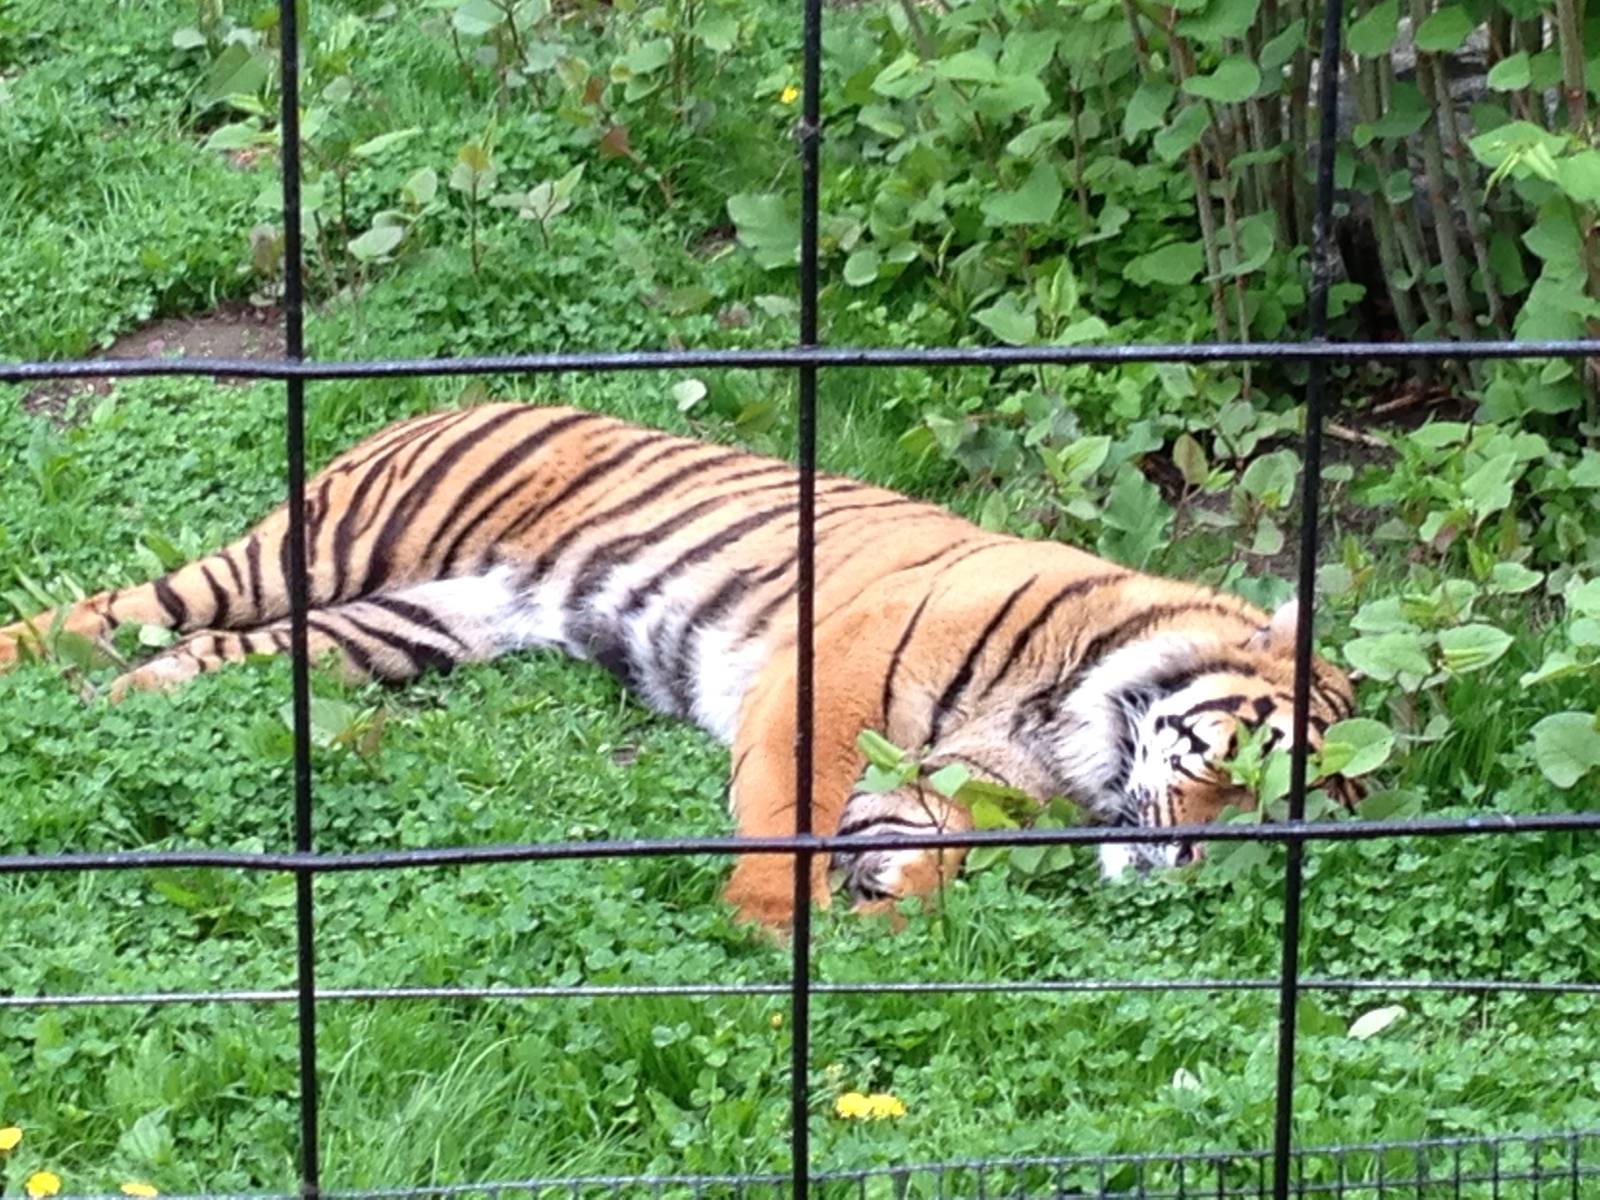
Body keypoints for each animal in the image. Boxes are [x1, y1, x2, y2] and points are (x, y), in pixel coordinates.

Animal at [0, 402, 1359, 925]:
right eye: (1236, 768)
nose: (1186, 862)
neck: (1076, 729)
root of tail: (440, 400)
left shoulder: (949, 777)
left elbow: (915, 841)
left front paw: (887, 903)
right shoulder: (830, 669)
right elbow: (784, 811)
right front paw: (768, 927)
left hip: (391, 631)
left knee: (190, 655)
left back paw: (117, 712)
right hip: (314, 553)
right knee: (116, 606)